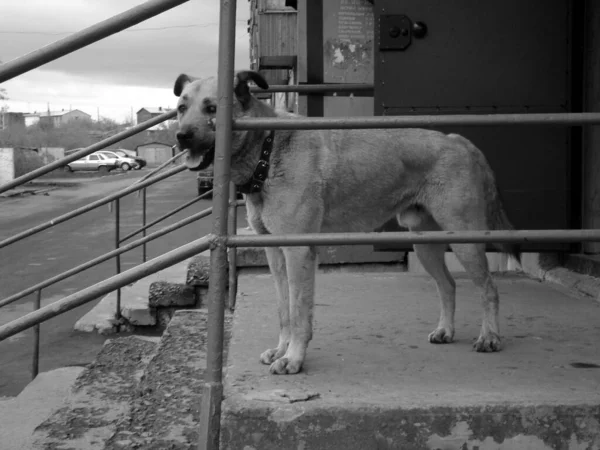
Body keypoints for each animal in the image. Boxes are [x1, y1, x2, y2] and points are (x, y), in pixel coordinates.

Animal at [173, 70, 520, 376]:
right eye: (181, 108)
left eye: (212, 108)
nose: (181, 136)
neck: (268, 151)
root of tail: (458, 140)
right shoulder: (274, 252)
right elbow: (284, 309)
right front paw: (282, 348)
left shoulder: (298, 251)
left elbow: (299, 313)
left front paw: (293, 358)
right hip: (425, 244)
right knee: (447, 285)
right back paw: (445, 330)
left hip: (465, 238)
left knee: (489, 289)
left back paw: (490, 336)